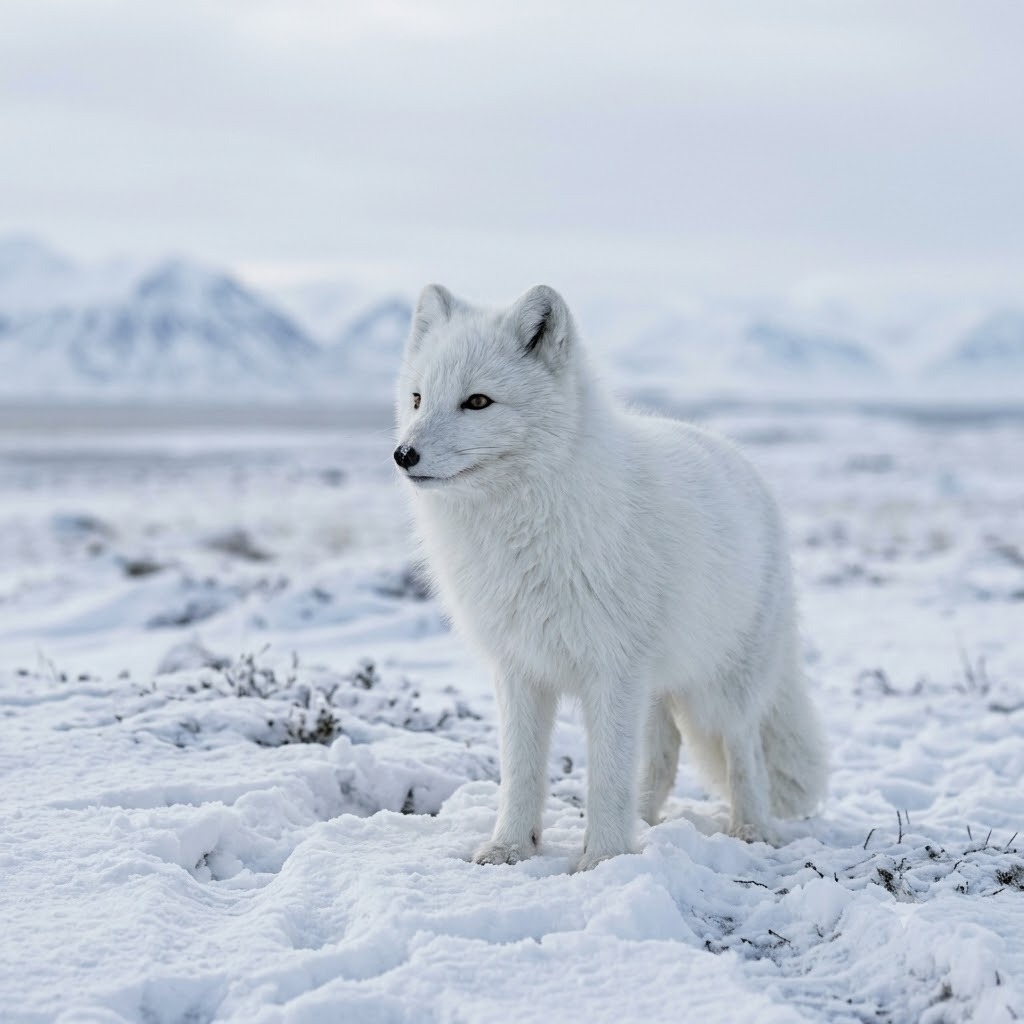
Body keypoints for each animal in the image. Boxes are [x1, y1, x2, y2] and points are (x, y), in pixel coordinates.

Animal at [394, 283, 827, 870]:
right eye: (417, 399)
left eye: (477, 402)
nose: (403, 454)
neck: (526, 524)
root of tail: (742, 460)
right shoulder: (519, 667)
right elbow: (521, 771)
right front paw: (511, 848)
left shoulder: (613, 669)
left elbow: (608, 775)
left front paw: (601, 860)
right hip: (657, 687)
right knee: (662, 755)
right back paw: (643, 822)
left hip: (723, 686)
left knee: (742, 750)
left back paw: (751, 828)